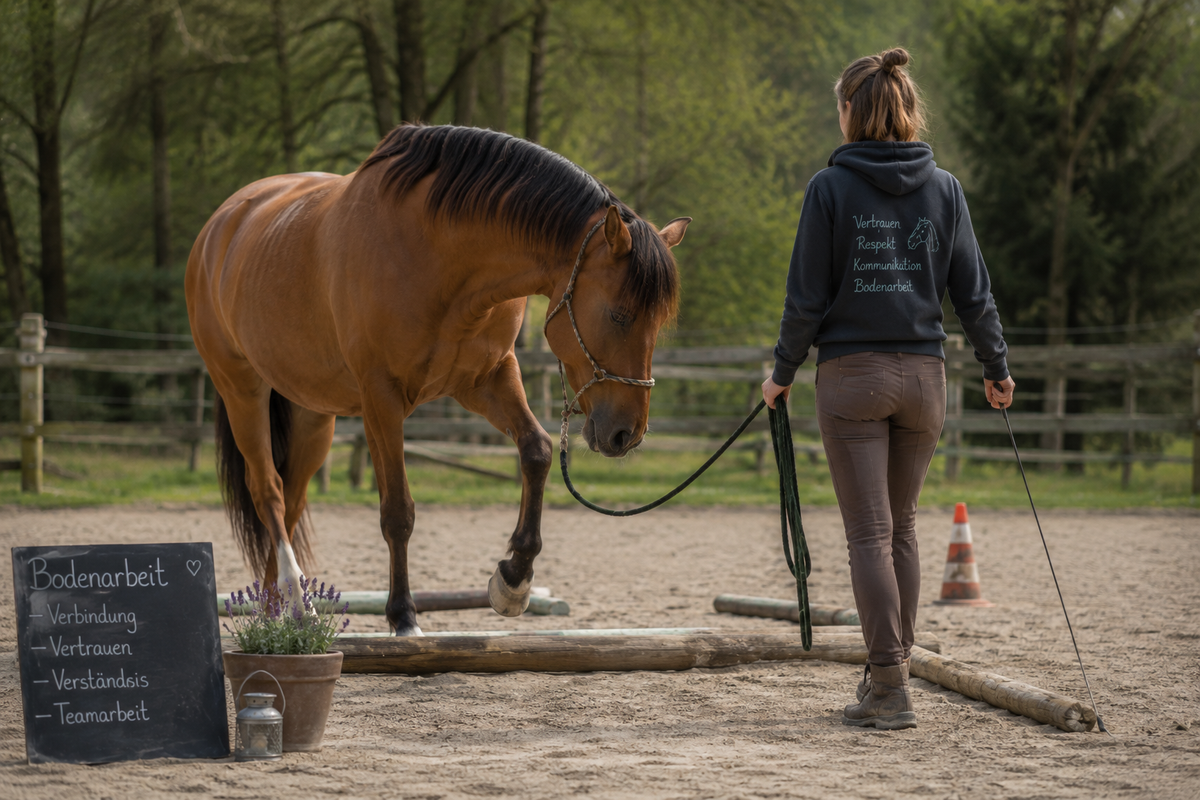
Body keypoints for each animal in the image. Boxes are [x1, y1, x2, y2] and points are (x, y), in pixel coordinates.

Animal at [185, 124, 690, 635]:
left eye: (659, 322)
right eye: (619, 314)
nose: (626, 433)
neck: (438, 253)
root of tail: (219, 226)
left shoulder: (489, 378)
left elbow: (537, 452)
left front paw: (514, 580)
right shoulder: (381, 398)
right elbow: (398, 511)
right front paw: (403, 615)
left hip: (313, 415)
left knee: (289, 501)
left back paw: (277, 612)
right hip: (241, 389)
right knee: (267, 491)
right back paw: (296, 601)